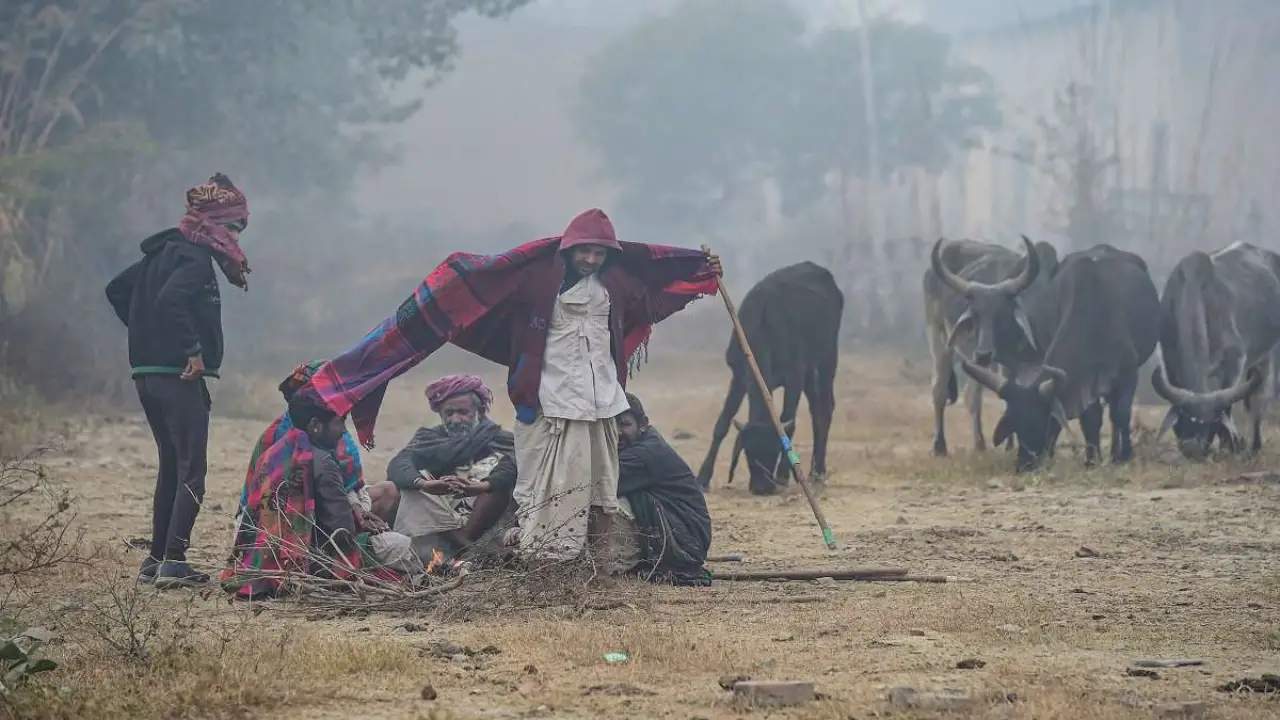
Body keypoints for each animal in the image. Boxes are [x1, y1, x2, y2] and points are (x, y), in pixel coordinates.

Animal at [696, 262, 844, 491]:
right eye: (749, 452)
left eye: (775, 451)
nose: (762, 488)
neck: (764, 328)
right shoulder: (739, 377)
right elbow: (722, 423)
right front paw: (703, 476)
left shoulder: (794, 377)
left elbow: (788, 423)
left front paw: (783, 474)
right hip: (810, 370)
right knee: (816, 410)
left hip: (827, 356)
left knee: (826, 407)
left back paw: (817, 470)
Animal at [926, 235, 1054, 453]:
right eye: (975, 315)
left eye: (1002, 315)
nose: (983, 354)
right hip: (939, 336)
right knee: (941, 389)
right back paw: (940, 445)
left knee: (971, 395)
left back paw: (980, 442)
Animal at [1152, 239, 1280, 453]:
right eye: (1183, 421)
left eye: (1210, 425)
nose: (1193, 450)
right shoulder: (1169, 361)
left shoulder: (1234, 362)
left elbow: (1227, 407)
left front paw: (1229, 446)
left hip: (1267, 356)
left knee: (1258, 400)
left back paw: (1255, 447)